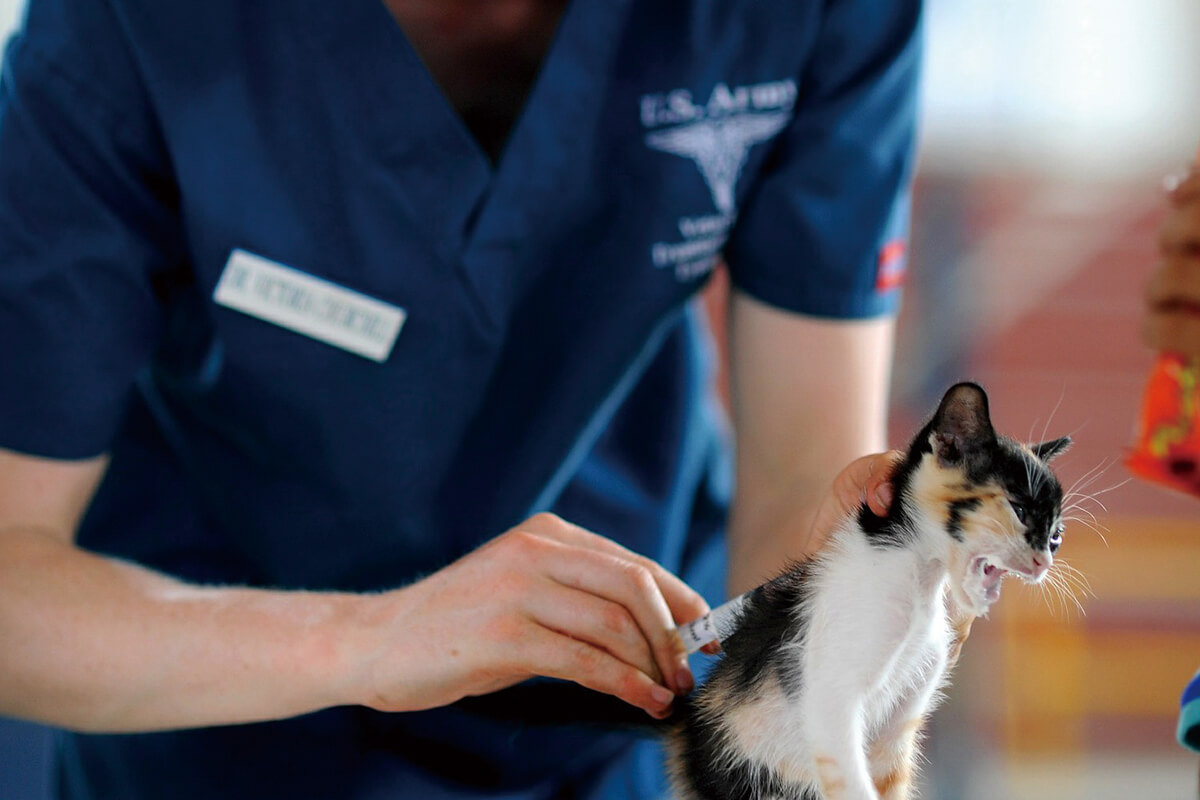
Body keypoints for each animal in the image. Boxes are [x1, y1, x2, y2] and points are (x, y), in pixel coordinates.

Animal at [667, 383, 1070, 800]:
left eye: (1056, 535)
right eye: (1019, 509)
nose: (1044, 561)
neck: (916, 574)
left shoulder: (898, 726)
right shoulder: (830, 699)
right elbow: (853, 785)